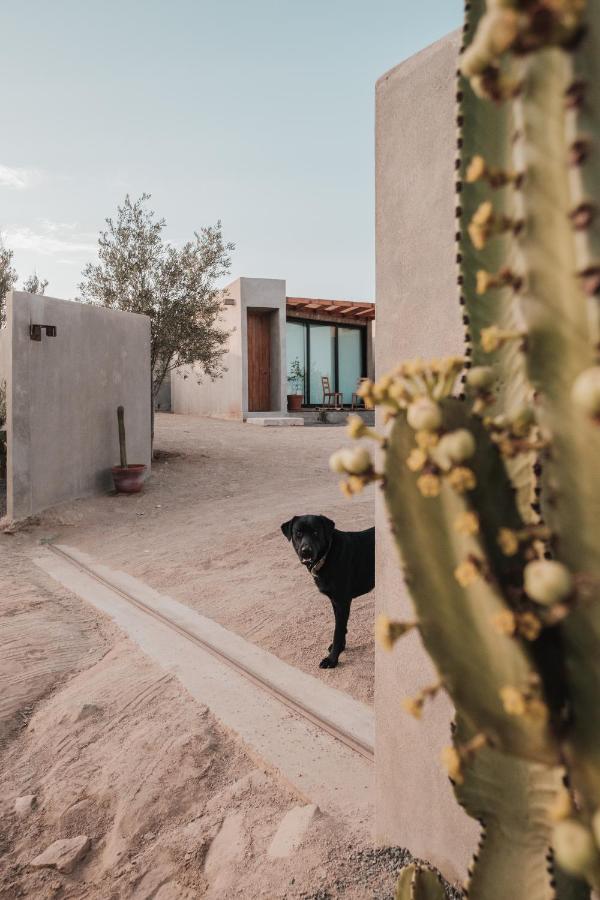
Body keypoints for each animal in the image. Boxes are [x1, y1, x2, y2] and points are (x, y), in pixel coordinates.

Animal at [280, 512, 372, 668]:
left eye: (316, 532)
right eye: (298, 533)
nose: (306, 551)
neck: (327, 555)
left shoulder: (342, 602)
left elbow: (337, 632)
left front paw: (332, 659)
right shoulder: (335, 601)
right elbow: (341, 628)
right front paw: (340, 648)